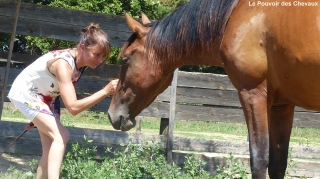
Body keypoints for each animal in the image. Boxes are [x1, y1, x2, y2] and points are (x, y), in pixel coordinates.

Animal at [107, 0, 320, 178]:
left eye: (125, 59)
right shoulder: (281, 106)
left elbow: (259, 161)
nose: (111, 114)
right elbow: (278, 164)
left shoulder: (253, 95)